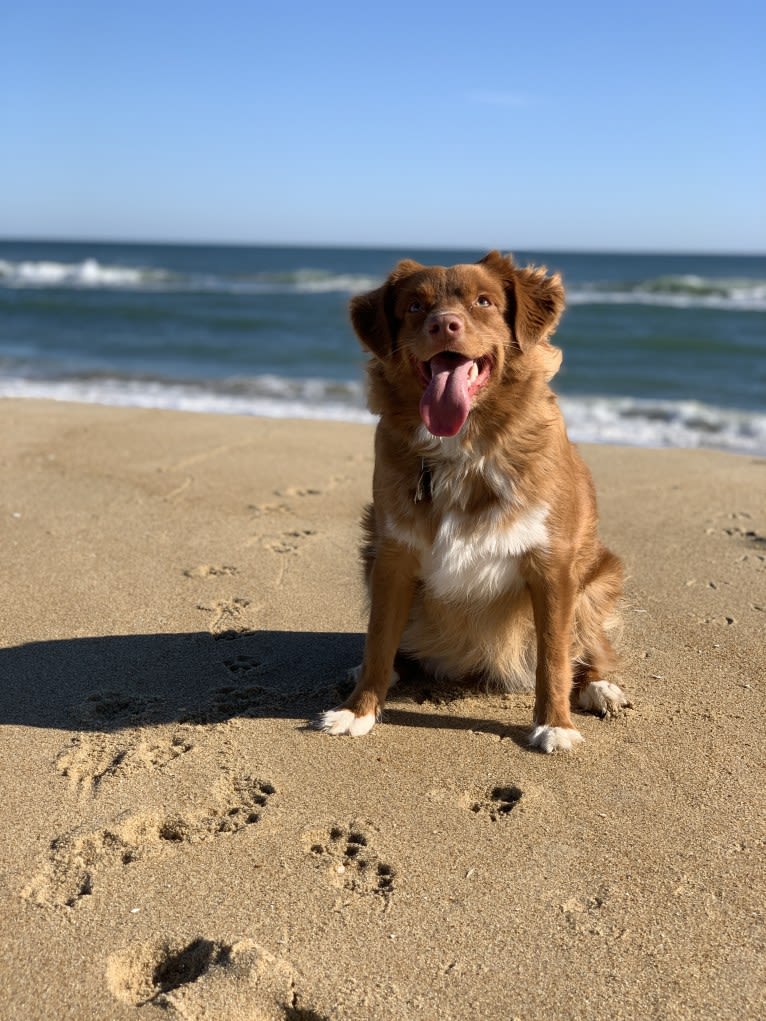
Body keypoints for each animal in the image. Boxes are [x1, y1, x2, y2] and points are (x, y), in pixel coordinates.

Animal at [318, 251, 629, 755]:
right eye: (414, 306)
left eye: (483, 301)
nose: (444, 324)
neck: (464, 447)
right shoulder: (393, 556)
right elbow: (378, 639)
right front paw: (358, 709)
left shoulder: (552, 565)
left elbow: (554, 655)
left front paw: (555, 724)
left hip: (598, 578)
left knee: (589, 648)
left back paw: (599, 687)